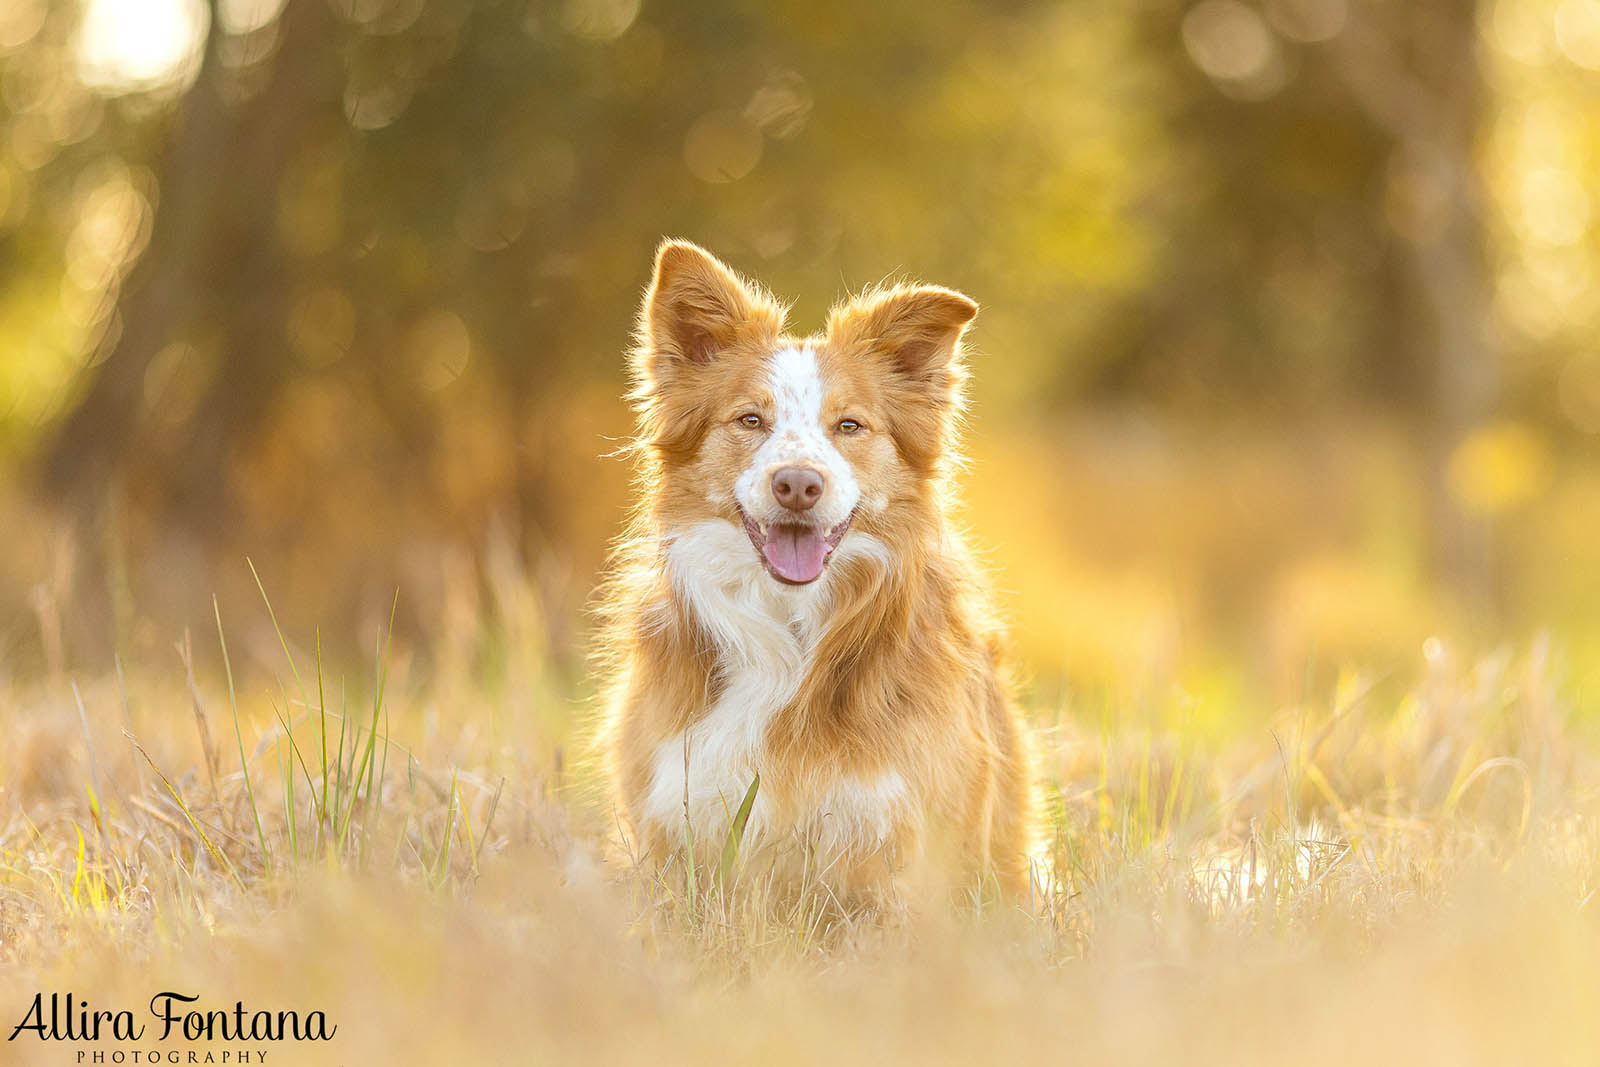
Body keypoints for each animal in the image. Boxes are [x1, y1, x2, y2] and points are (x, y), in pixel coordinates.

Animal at [595, 241, 1030, 902]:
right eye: (750, 420)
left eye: (849, 426)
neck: (791, 626)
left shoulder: (904, 843)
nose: (798, 484)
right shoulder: (679, 815)